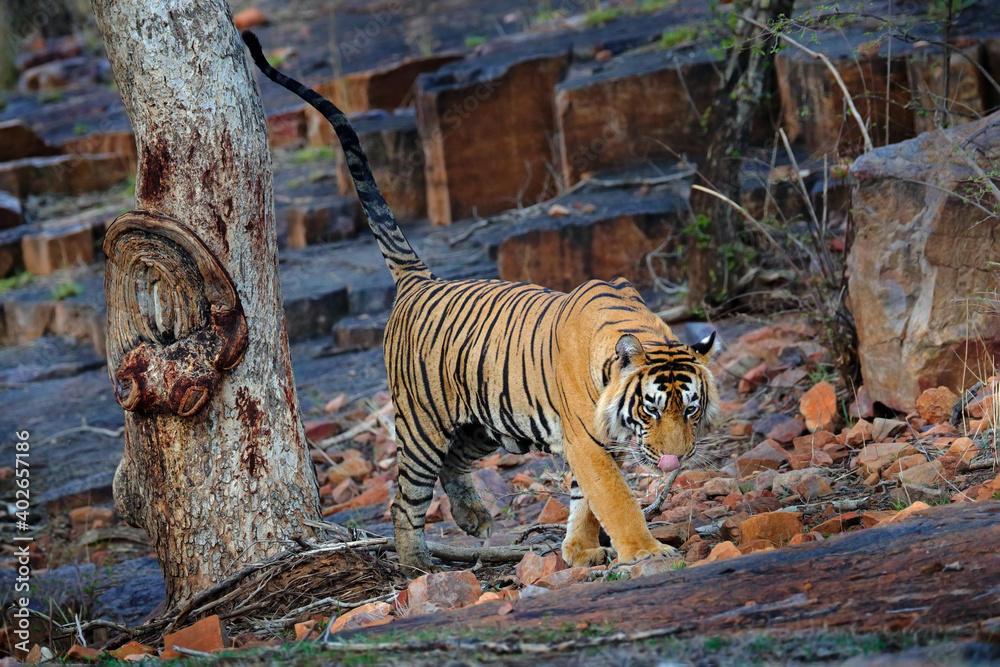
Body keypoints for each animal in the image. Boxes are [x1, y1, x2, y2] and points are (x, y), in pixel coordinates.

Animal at [243, 32, 720, 573]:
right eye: (652, 410)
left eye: (692, 409)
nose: (675, 460)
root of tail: (420, 280)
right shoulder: (589, 440)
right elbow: (613, 497)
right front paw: (644, 551)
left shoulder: (598, 440)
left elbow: (584, 498)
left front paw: (579, 550)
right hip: (422, 423)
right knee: (405, 498)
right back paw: (416, 563)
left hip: (486, 422)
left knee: (454, 463)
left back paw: (471, 517)